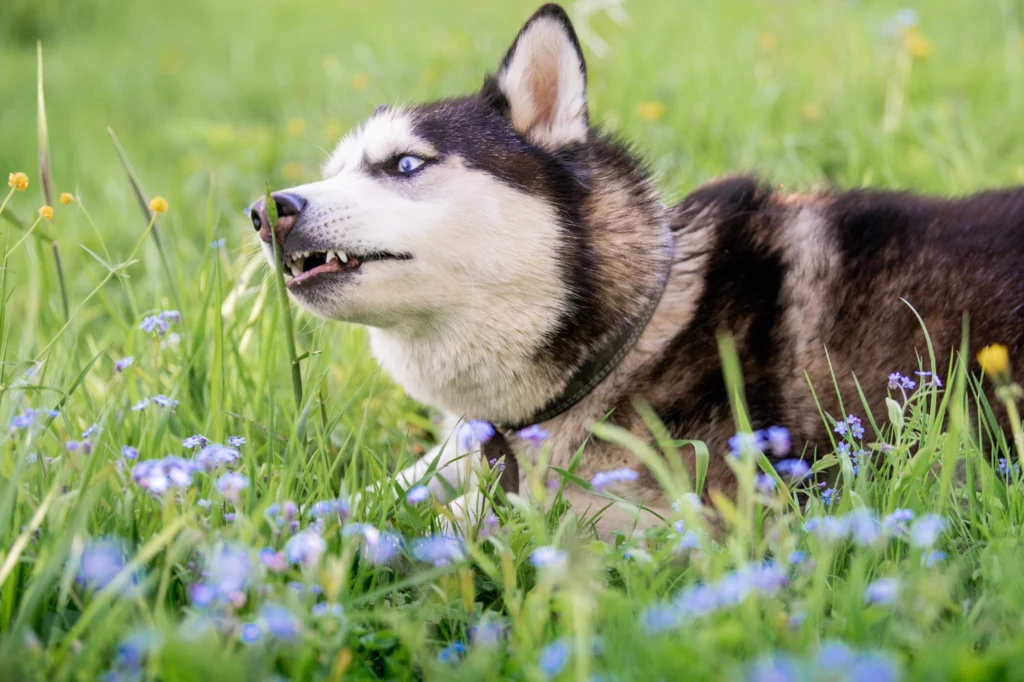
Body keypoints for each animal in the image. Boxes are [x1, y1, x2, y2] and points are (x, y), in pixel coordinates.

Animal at [251, 3, 1024, 536]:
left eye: (405, 164)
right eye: (337, 171)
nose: (266, 210)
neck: (634, 328)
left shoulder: (689, 515)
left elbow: (459, 516)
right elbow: (377, 494)